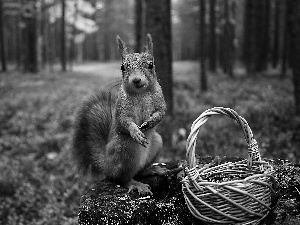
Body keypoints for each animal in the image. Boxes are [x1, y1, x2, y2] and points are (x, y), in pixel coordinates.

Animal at [72, 34, 168, 194]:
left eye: (150, 65)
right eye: (123, 67)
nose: (136, 79)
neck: (141, 93)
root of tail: (107, 166)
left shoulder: (160, 100)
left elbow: (161, 113)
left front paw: (151, 122)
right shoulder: (122, 108)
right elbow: (124, 121)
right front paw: (135, 131)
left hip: (157, 142)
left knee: (138, 171)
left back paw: (151, 170)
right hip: (126, 148)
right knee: (122, 178)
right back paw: (136, 184)